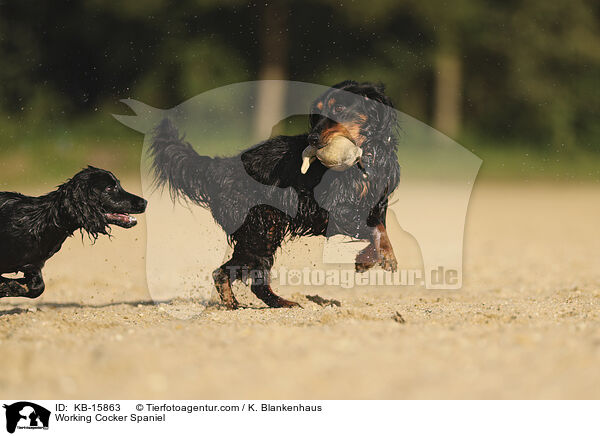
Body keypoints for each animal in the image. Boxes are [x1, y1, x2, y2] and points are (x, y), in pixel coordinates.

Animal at [0, 165, 147, 298]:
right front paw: (6, 286)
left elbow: (38, 287)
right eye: (109, 188)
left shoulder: (33, 265)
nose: (145, 202)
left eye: (118, 185)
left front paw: (10, 286)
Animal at [151, 80, 398, 308]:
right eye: (317, 113)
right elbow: (375, 229)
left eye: (338, 108)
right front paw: (386, 256)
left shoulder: (378, 203)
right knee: (231, 274)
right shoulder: (335, 208)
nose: (312, 139)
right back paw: (259, 304)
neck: (365, 156)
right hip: (261, 229)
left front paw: (368, 259)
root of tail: (221, 167)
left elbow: (378, 227)